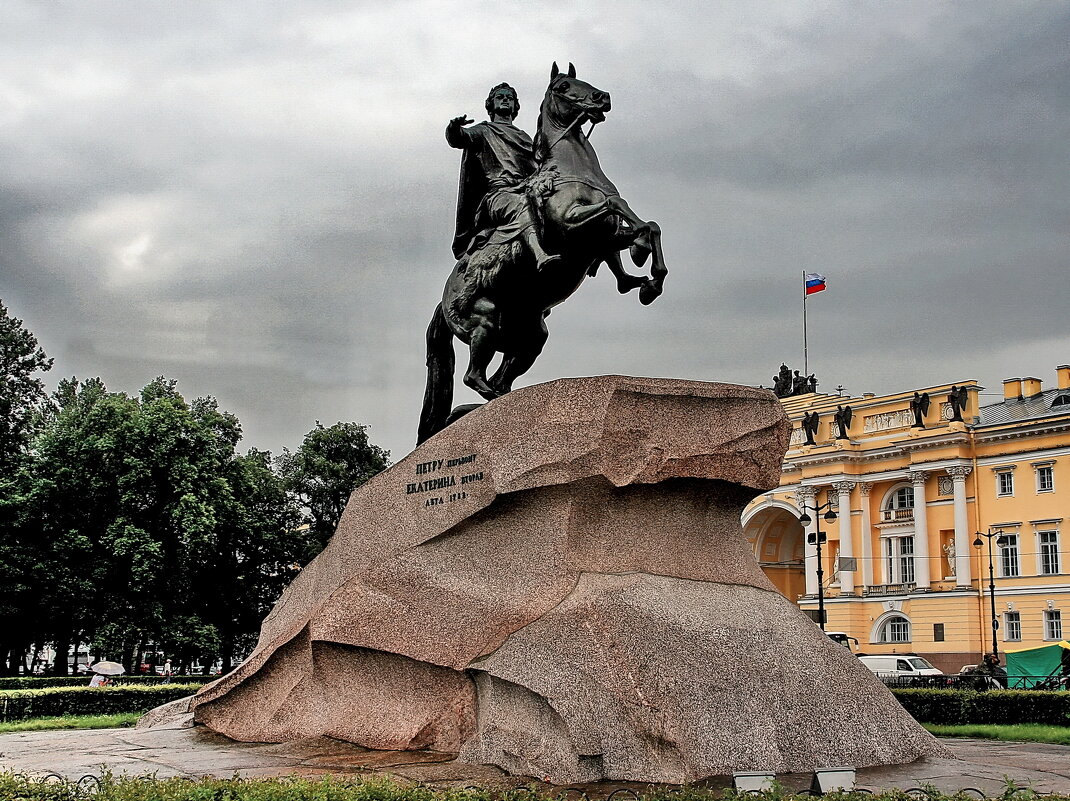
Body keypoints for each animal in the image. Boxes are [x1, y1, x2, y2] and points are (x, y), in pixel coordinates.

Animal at [419, 64, 663, 442]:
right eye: (563, 86)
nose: (602, 97)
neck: (571, 170)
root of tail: (443, 301)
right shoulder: (572, 226)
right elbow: (617, 203)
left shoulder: (602, 238)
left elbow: (647, 225)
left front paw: (648, 279)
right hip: (483, 319)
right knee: (475, 376)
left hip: (530, 336)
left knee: (501, 378)